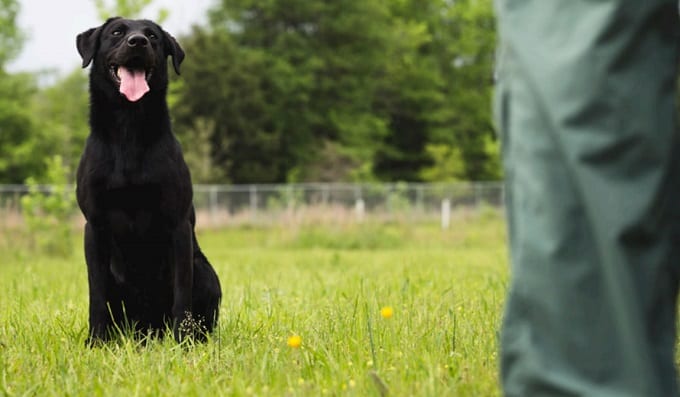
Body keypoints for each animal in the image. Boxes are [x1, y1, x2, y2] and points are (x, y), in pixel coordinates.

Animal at [75, 17, 222, 342]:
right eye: (117, 32)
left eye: (153, 37)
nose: (138, 42)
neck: (129, 129)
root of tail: (148, 329)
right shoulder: (95, 226)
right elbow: (96, 294)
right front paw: (96, 341)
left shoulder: (178, 225)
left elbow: (182, 293)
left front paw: (183, 341)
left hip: (205, 271)